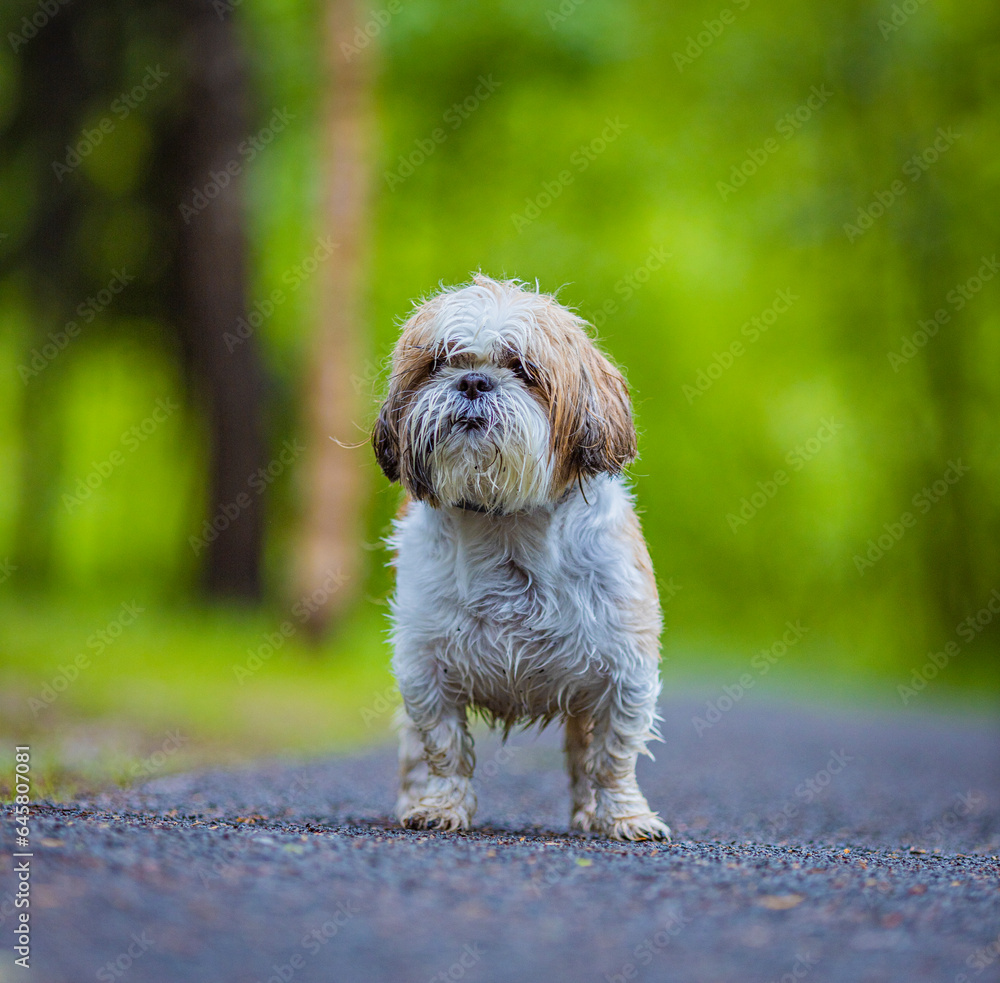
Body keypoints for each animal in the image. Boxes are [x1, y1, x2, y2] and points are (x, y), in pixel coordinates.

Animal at [372, 272, 668, 840]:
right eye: (439, 363)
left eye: (524, 370)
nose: (473, 383)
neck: (507, 523)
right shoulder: (425, 666)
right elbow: (444, 747)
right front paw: (441, 805)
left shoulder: (626, 669)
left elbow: (613, 757)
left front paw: (625, 816)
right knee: (414, 751)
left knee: (584, 755)